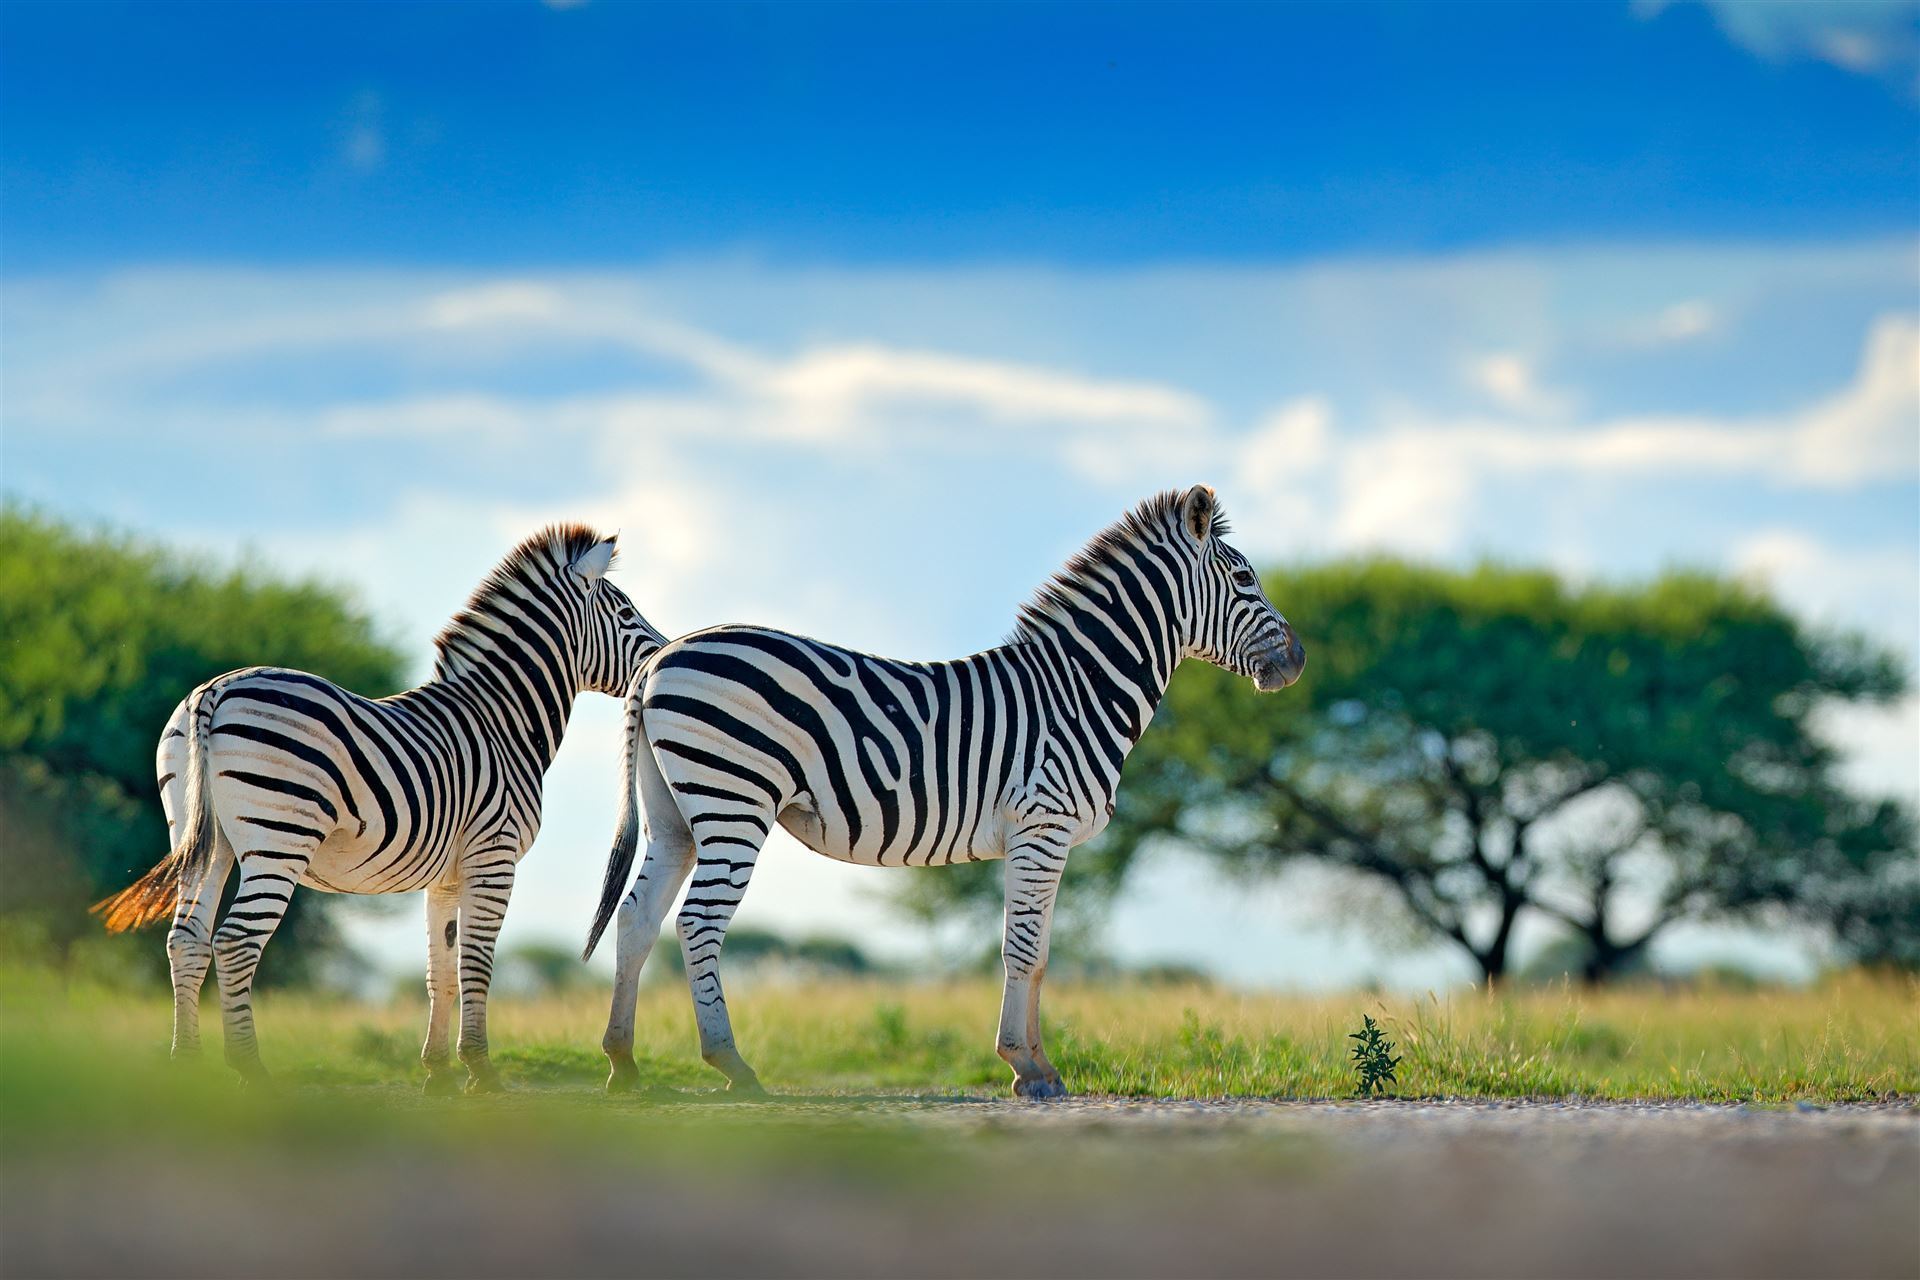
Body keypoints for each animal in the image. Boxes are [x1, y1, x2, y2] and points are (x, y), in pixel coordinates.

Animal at [94, 524, 665, 1092]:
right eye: (625, 613)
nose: (664, 657)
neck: (502, 722)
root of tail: (215, 690)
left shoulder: (447, 875)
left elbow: (441, 972)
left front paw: (438, 1072)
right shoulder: (493, 856)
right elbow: (476, 967)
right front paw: (481, 1072)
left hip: (205, 840)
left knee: (186, 941)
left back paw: (186, 1067)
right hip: (278, 838)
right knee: (235, 942)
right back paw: (252, 1070)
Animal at [584, 486, 1304, 1098]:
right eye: (1245, 580)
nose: (1297, 662)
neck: (1078, 690)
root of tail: (659, 658)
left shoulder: (1043, 838)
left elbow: (1039, 953)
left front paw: (1041, 1066)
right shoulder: (1043, 826)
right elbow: (1023, 950)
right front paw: (1024, 1066)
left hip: (676, 814)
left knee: (638, 917)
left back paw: (623, 1062)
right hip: (733, 799)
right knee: (698, 922)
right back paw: (732, 1065)